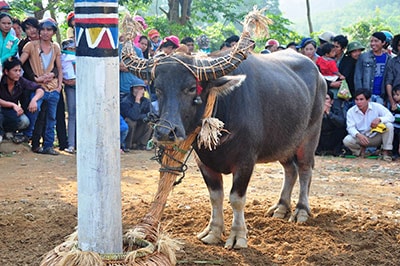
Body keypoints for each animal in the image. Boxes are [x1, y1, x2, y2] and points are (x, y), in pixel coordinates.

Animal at [123, 46, 326, 249]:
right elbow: (215, 196)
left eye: (191, 88)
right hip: (284, 144)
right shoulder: (203, 161)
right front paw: (213, 232)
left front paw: (238, 236)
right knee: (290, 170)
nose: (165, 132)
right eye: (158, 89)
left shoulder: (246, 161)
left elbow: (236, 198)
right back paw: (281, 207)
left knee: (305, 169)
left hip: (310, 136)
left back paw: (301, 210)